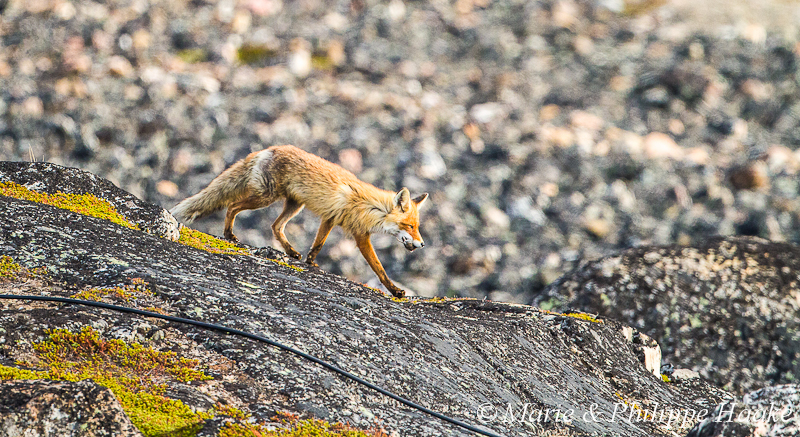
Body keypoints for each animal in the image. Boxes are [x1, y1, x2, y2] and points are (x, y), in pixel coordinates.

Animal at [170, 145, 428, 298]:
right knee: (232, 207)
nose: (422, 244)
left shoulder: (329, 218)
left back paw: (291, 252)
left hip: (293, 204)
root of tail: (268, 148)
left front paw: (310, 261)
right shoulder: (360, 235)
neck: (371, 208)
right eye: (410, 226)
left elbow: (318, 244)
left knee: (275, 226)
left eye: (417, 227)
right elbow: (379, 268)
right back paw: (229, 235)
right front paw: (395, 291)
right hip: (266, 197)